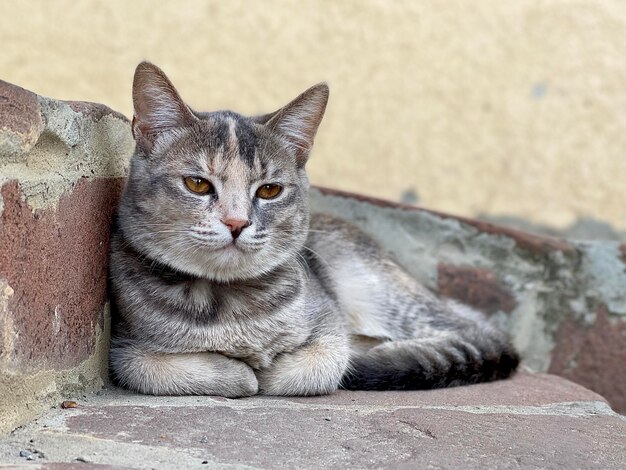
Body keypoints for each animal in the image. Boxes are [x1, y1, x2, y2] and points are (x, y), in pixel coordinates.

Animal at [108, 60, 516, 394]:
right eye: (197, 184)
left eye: (269, 190)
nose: (237, 222)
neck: (228, 303)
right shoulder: (125, 347)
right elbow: (156, 368)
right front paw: (240, 370)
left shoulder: (328, 326)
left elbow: (313, 367)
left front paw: (264, 368)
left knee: (472, 333)